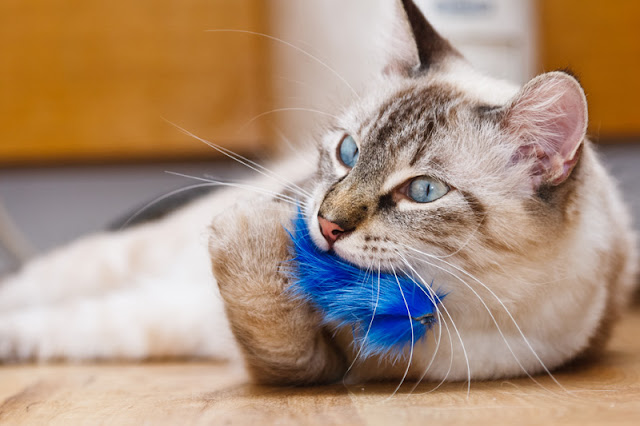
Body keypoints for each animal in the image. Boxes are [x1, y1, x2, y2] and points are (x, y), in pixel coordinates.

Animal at [0, 0, 636, 388]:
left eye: (423, 191)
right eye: (348, 152)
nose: (325, 225)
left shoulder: (315, 365)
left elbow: (267, 319)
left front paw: (247, 229)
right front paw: (261, 222)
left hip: (147, 312)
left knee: (53, 321)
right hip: (120, 259)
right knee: (32, 287)